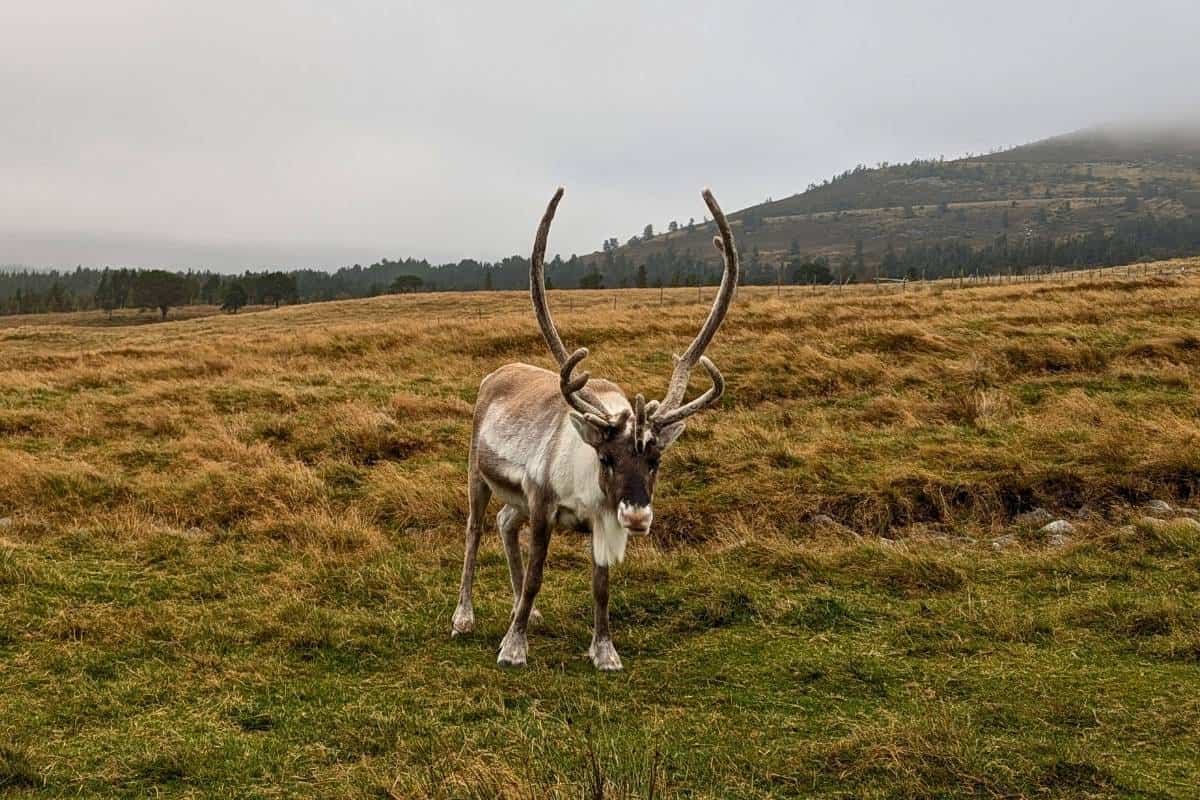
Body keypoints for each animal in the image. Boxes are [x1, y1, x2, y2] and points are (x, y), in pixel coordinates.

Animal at [451, 186, 739, 670]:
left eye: (656, 460)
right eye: (606, 456)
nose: (638, 516)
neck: (587, 489)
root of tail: (494, 375)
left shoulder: (602, 519)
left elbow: (601, 588)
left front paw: (604, 650)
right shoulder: (542, 503)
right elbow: (536, 576)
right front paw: (513, 647)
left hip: (516, 496)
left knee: (505, 523)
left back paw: (521, 610)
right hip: (478, 473)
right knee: (474, 530)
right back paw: (464, 617)